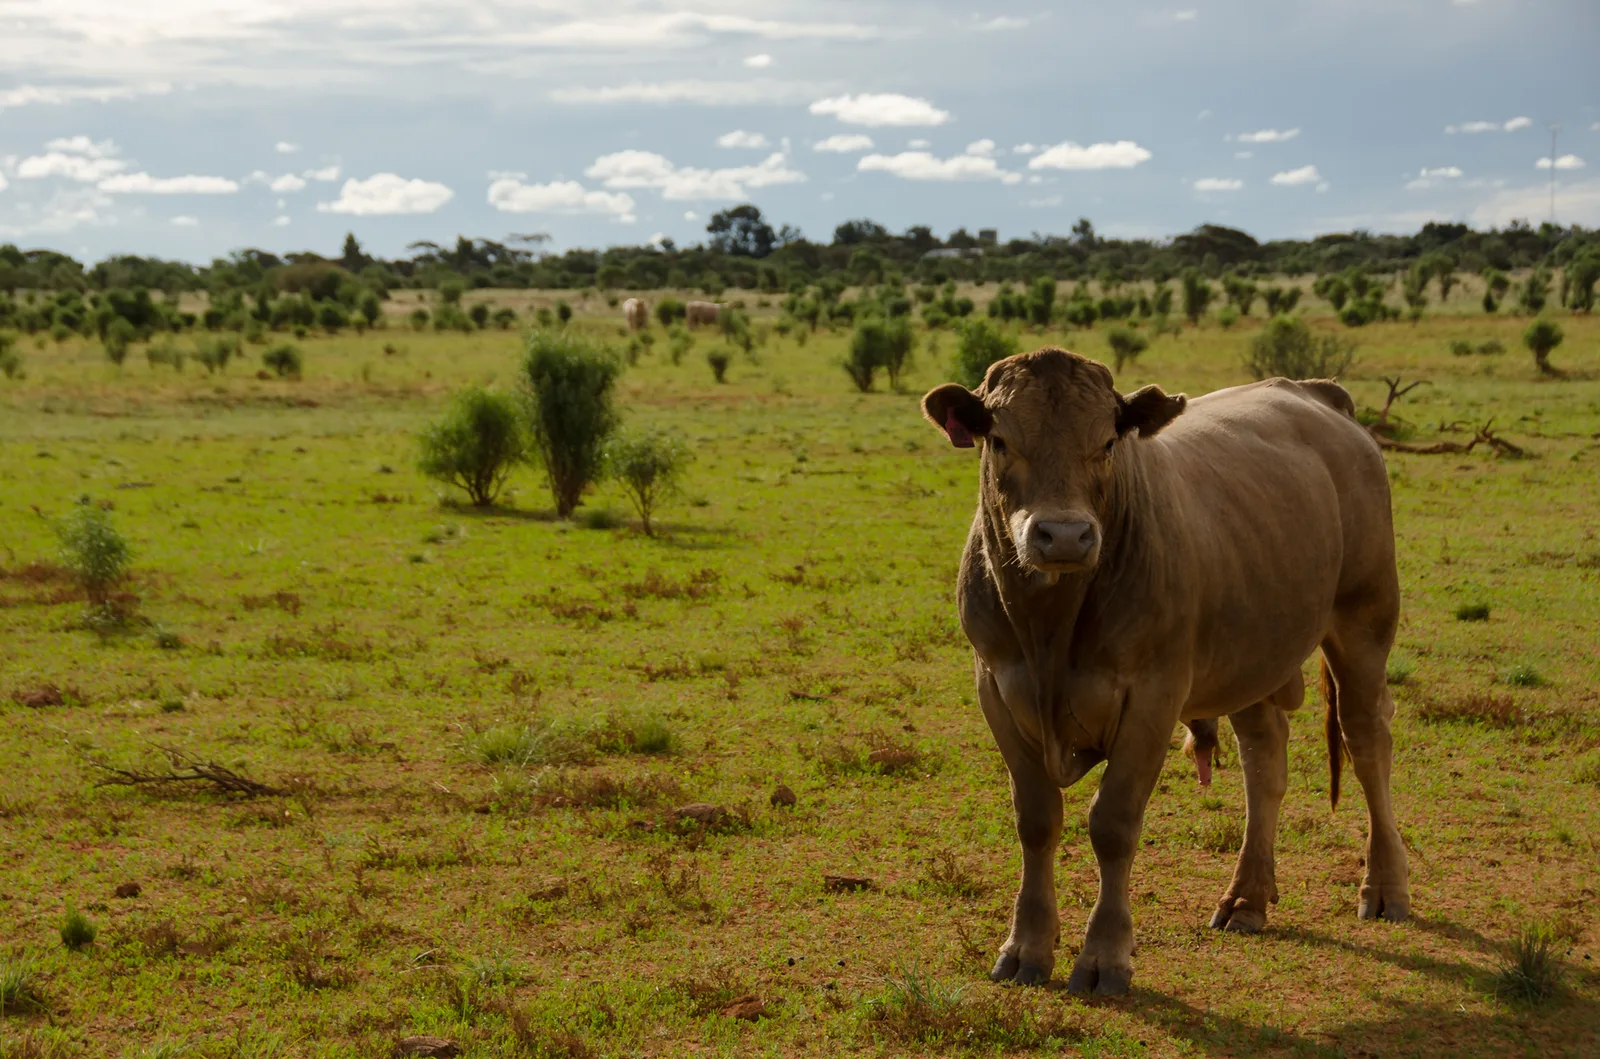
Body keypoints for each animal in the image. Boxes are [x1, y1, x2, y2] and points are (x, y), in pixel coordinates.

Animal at [921, 347, 1407, 997]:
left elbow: (1113, 823)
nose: (1064, 535)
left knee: (1366, 741)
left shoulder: (1152, 698)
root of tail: (1314, 393)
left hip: (1363, 622)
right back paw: (1247, 896)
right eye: (999, 440)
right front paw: (1026, 947)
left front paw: (1104, 957)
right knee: (1265, 760)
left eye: (1107, 442)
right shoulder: (996, 689)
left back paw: (1384, 887)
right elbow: (1037, 820)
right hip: (1246, 653)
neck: (1051, 627)